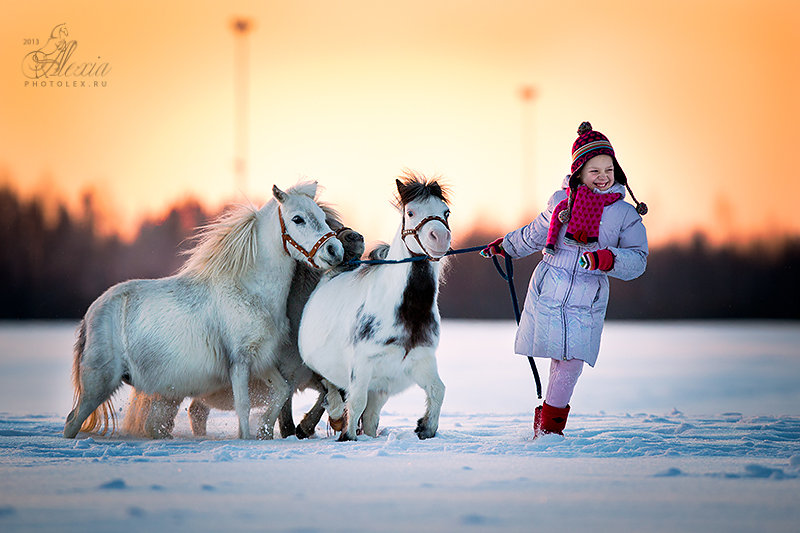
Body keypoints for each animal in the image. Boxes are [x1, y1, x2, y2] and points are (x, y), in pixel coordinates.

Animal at [63, 181, 344, 438]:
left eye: (322, 217)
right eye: (297, 219)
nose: (335, 250)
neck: (250, 291)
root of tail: (92, 312)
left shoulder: (263, 362)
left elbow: (281, 393)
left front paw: (267, 429)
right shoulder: (239, 362)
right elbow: (243, 407)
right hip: (99, 383)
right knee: (72, 421)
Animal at [298, 171, 450, 440]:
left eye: (446, 212)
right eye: (410, 212)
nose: (440, 238)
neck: (407, 313)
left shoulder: (420, 362)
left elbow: (438, 390)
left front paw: (425, 427)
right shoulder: (361, 366)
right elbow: (355, 401)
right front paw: (347, 436)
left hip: (380, 388)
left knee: (370, 417)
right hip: (326, 369)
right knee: (332, 392)